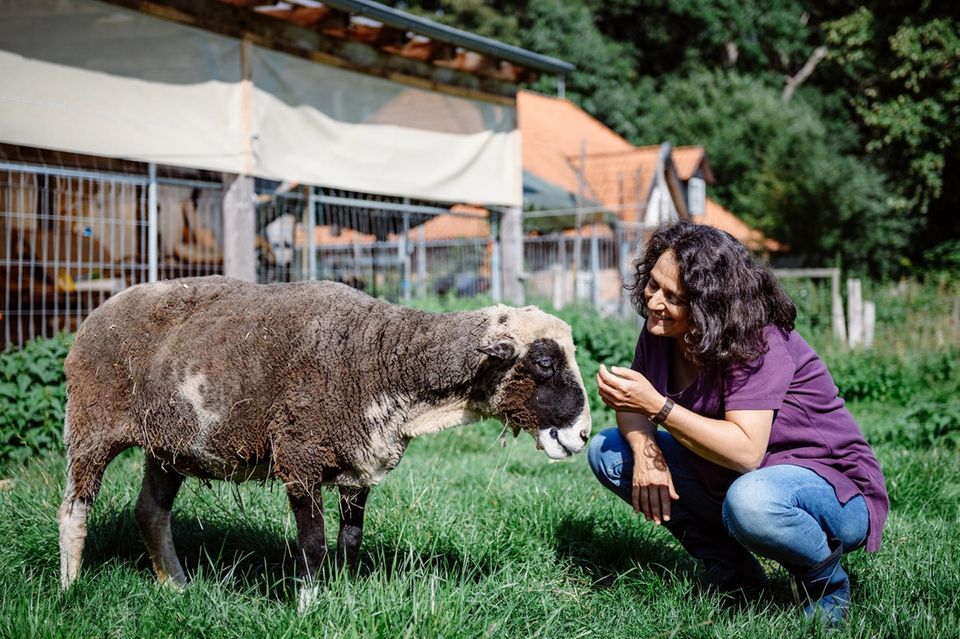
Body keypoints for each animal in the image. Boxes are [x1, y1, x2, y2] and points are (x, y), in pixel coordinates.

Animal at [58, 276, 592, 604]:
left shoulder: (358, 463)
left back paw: (178, 588)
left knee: (150, 513)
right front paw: (309, 605)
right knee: (74, 510)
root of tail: (98, 311)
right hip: (90, 424)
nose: (583, 435)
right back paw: (69, 587)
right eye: (544, 362)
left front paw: (345, 595)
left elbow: (350, 542)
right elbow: (312, 545)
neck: (378, 353)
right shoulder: (300, 456)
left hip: (167, 444)